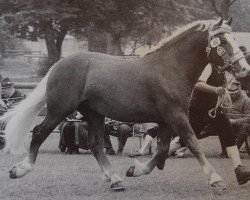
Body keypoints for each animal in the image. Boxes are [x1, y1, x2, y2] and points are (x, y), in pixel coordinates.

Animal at [0, 19, 250, 192]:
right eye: (223, 42)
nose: (244, 71)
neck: (169, 69)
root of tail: (59, 64)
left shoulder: (166, 120)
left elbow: (161, 150)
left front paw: (135, 169)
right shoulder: (176, 116)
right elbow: (193, 143)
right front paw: (216, 180)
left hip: (93, 114)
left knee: (96, 145)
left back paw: (115, 179)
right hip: (59, 110)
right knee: (39, 133)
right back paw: (20, 169)